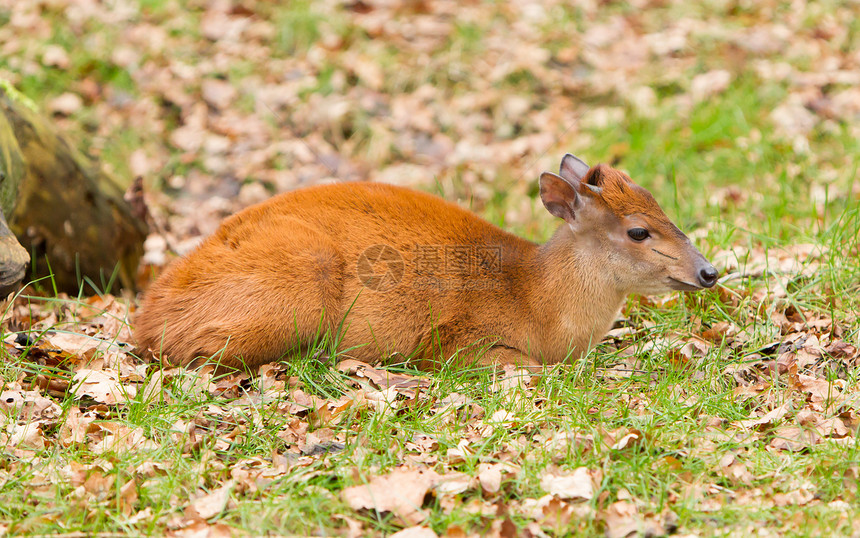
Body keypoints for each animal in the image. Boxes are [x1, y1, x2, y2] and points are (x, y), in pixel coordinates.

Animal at [134, 154, 716, 368]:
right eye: (638, 230)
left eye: (661, 205)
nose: (708, 271)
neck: (538, 303)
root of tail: (146, 319)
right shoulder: (460, 340)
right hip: (298, 286)